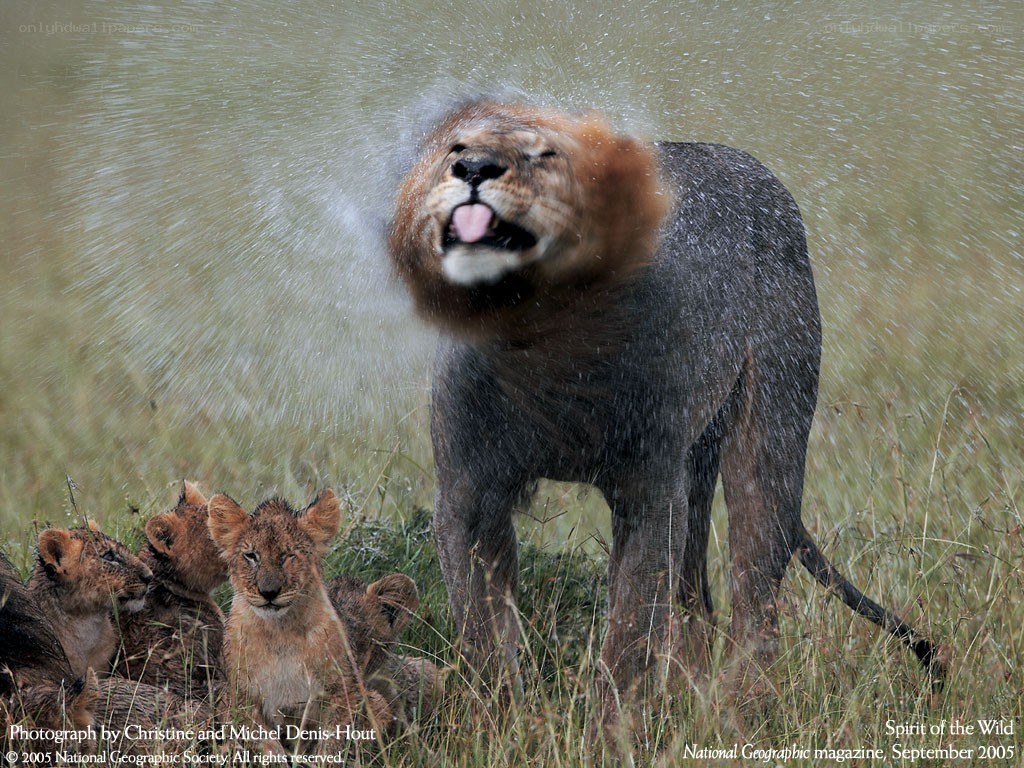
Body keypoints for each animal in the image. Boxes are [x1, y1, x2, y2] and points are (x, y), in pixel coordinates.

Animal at [208, 489, 389, 755]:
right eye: (251, 556)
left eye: (288, 555)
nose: (269, 592)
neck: (280, 630)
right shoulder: (240, 699)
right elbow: (269, 749)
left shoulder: (342, 693)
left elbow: (330, 747)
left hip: (377, 702)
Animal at [387, 100, 942, 711]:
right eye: (457, 148)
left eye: (545, 155)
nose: (474, 169)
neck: (546, 354)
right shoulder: (468, 494)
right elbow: (484, 633)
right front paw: (503, 717)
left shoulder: (650, 493)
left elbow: (628, 635)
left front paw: (611, 724)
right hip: (697, 466)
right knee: (697, 599)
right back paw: (689, 695)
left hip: (769, 439)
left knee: (756, 596)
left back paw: (734, 709)